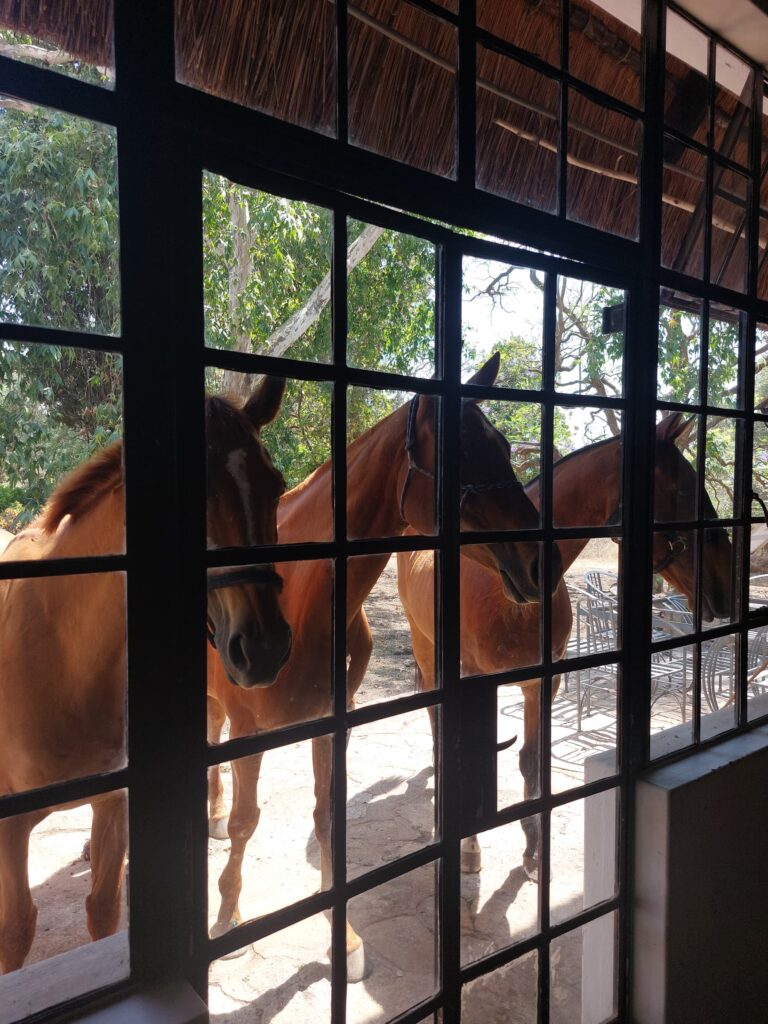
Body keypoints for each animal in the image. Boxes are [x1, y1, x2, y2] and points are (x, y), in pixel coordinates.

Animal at [0, 378, 290, 974]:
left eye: (274, 487)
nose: (264, 649)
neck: (64, 662)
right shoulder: (11, 827)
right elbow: (15, 934)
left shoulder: (113, 803)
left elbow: (104, 911)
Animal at [205, 356, 565, 978]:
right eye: (458, 453)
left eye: (500, 445)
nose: (543, 561)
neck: (301, 596)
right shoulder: (250, 731)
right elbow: (246, 822)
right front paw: (228, 915)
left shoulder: (334, 721)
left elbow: (327, 816)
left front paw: (342, 938)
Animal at [393, 411, 737, 876]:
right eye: (683, 488)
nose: (726, 579)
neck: (508, 595)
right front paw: (469, 850)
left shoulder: (544, 685)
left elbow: (532, 763)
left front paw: (534, 851)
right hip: (426, 649)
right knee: (435, 719)